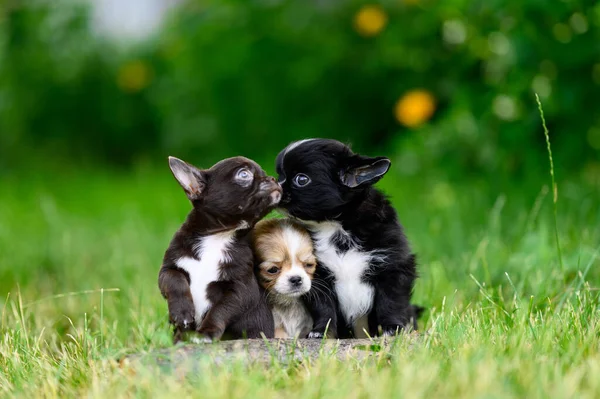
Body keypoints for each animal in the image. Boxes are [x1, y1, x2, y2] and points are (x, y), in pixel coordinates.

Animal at [159, 156, 282, 344]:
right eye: (244, 174)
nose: (274, 179)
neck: (218, 236)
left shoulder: (239, 289)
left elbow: (220, 310)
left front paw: (207, 332)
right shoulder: (169, 268)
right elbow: (175, 281)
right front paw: (182, 313)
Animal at [274, 139, 420, 340]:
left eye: (301, 180)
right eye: (279, 174)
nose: (274, 183)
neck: (335, 226)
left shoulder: (393, 266)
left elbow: (391, 301)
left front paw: (392, 328)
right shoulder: (317, 277)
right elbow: (324, 308)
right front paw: (322, 332)